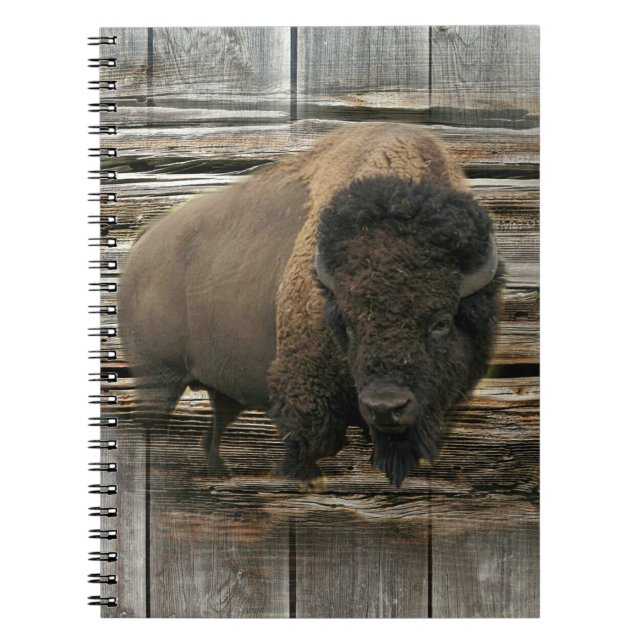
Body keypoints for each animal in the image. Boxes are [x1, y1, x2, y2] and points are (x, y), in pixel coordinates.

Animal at [118, 122, 502, 487]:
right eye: (346, 322)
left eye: (441, 322)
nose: (385, 406)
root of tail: (141, 247)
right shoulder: (307, 400)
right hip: (158, 379)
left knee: (211, 435)